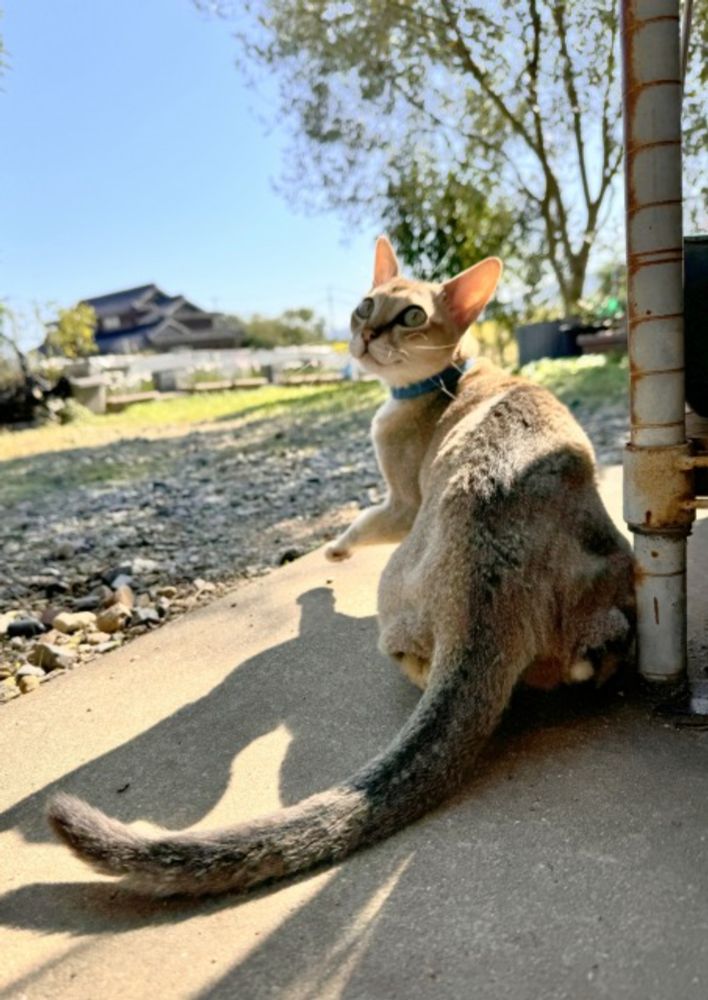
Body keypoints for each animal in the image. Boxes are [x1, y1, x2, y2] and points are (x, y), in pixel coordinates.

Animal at [48, 234, 636, 900]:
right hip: (608, 581)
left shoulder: (402, 505)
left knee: (418, 657)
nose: (367, 333)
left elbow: (358, 522)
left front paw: (329, 556)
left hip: (396, 586)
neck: (450, 381)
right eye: (365, 304)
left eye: (411, 315)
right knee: (593, 653)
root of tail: (490, 588)